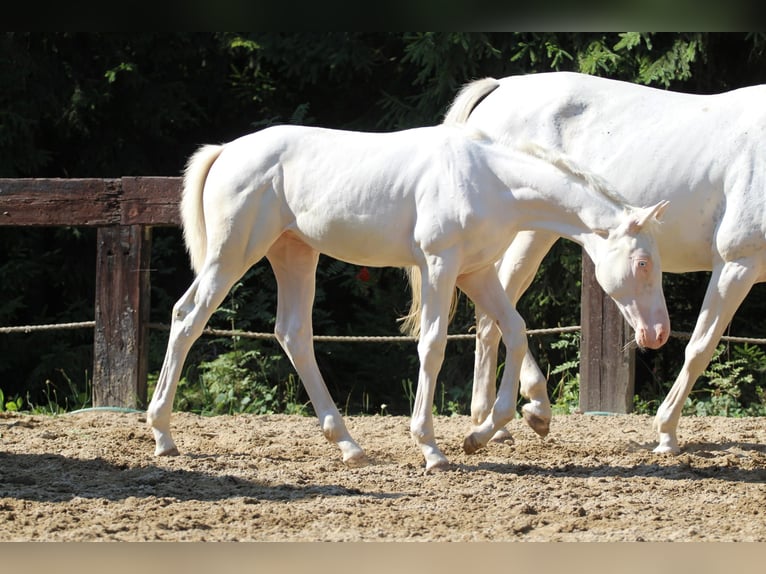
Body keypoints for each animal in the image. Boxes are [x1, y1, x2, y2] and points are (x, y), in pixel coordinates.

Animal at [147, 121, 668, 472]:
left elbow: (515, 331)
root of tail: (225, 151)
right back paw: (163, 435)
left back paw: (349, 446)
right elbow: (433, 345)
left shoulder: (476, 272)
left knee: (292, 334)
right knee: (187, 316)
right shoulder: (439, 266)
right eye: (644, 263)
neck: (489, 179)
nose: (658, 334)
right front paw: (432, 448)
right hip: (233, 254)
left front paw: (482, 434)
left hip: (294, 254)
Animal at [450, 73, 766, 454]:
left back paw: (527, 412)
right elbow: (699, 348)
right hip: (528, 236)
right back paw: (494, 421)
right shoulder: (737, 265)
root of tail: (499, 87)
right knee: (492, 317)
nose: (657, 334)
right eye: (643, 264)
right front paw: (666, 434)